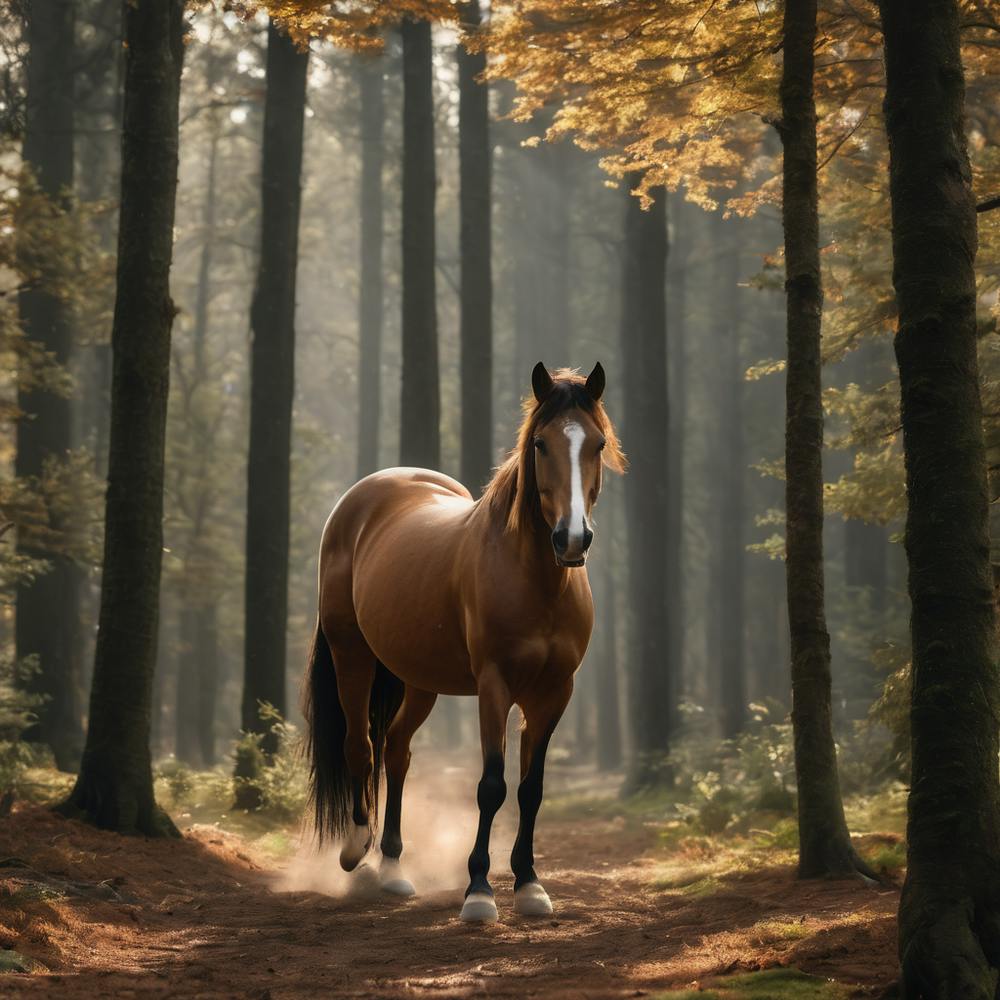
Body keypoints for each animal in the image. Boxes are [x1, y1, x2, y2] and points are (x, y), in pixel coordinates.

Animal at [303, 362, 624, 922]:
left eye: (598, 443)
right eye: (540, 443)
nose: (571, 539)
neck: (537, 582)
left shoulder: (554, 693)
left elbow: (532, 789)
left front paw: (530, 886)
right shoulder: (494, 687)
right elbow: (492, 785)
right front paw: (478, 891)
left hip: (420, 680)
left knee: (396, 751)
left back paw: (393, 869)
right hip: (352, 656)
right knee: (359, 747)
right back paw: (356, 853)